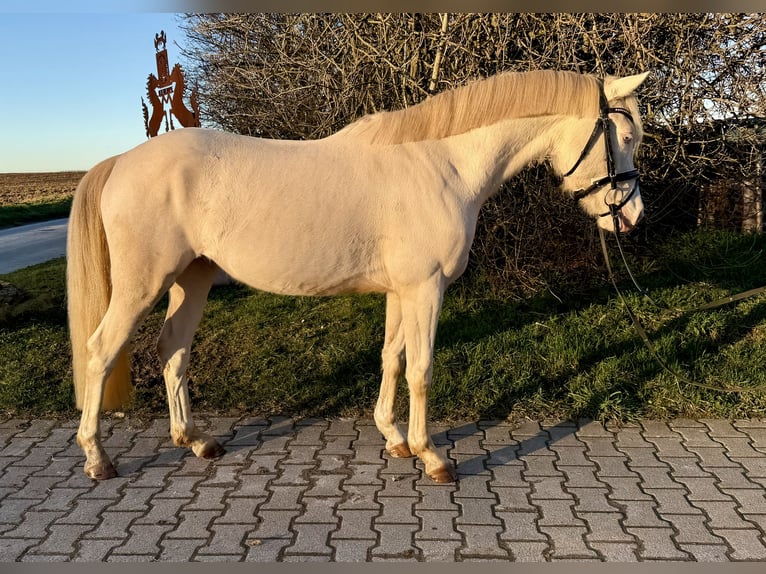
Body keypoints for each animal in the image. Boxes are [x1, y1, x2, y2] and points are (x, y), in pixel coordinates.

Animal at [67, 69, 649, 482]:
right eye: (621, 135)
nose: (631, 216)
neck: (442, 164)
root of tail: (120, 161)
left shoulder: (402, 291)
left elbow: (392, 359)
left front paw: (393, 437)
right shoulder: (426, 289)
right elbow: (421, 370)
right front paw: (432, 457)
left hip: (193, 278)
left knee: (174, 349)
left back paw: (194, 439)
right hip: (143, 284)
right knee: (100, 351)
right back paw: (97, 458)